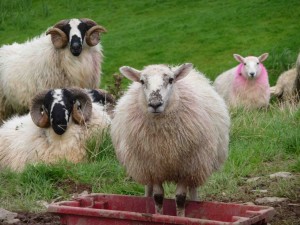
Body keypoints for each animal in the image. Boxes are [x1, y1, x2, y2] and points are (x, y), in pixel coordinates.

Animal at [110, 62, 230, 216]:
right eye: (142, 81)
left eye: (171, 80)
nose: (155, 104)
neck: (165, 142)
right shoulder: (153, 167)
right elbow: (158, 197)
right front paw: (157, 215)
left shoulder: (186, 168)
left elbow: (180, 198)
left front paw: (181, 217)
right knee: (148, 189)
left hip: (199, 164)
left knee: (193, 189)